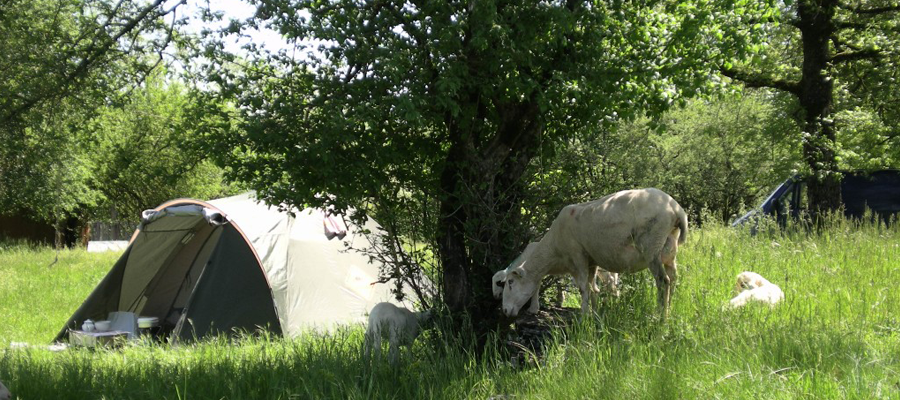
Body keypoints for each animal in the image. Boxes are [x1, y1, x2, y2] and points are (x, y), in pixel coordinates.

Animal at [502, 188, 684, 318]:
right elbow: (593, 288)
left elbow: (584, 288)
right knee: (673, 277)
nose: (504, 311)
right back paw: (669, 309)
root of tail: (675, 208)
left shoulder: (578, 256)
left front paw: (583, 317)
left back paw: (661, 317)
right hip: (669, 249)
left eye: (510, 282)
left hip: (651, 247)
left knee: (663, 281)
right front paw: (595, 314)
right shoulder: (592, 262)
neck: (554, 251)